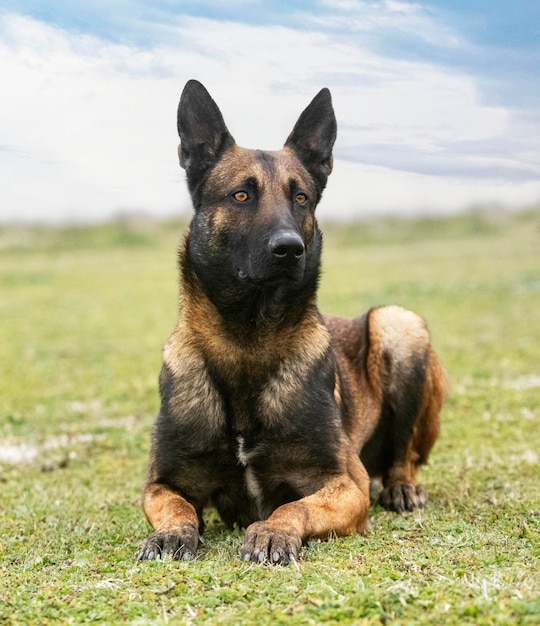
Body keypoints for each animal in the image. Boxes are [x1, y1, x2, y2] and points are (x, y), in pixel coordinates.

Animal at [138, 79, 448, 564]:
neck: (247, 343)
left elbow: (292, 507)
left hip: (398, 324)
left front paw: (272, 532)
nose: (290, 248)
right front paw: (172, 534)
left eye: (300, 197)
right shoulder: (161, 483)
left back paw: (401, 487)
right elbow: (177, 508)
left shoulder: (346, 485)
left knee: (406, 456)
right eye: (241, 195)